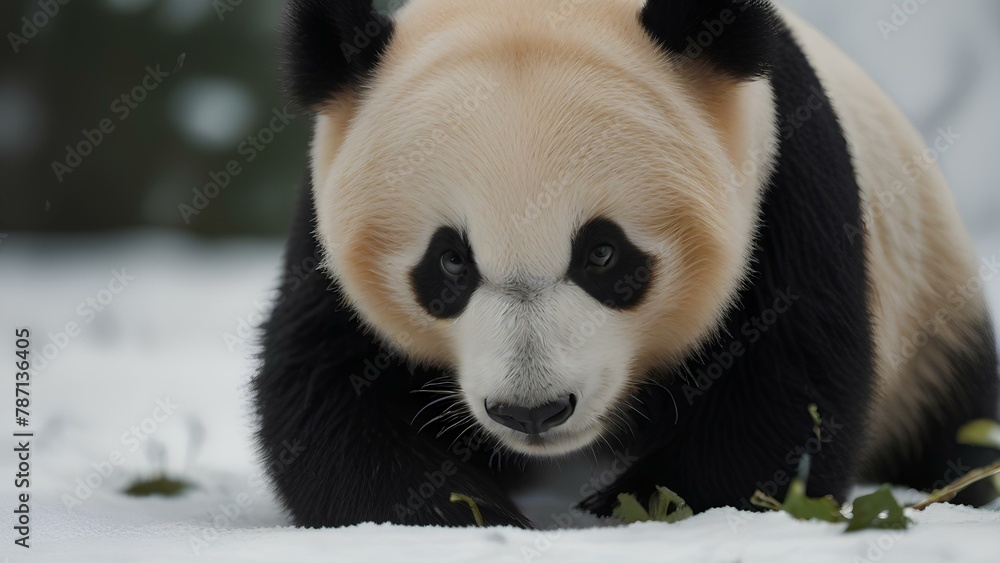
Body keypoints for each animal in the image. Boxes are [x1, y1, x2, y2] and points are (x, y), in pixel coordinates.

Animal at [252, 0, 1000, 528]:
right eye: (451, 262)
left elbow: (787, 388)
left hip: (931, 308)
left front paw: (631, 504)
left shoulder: (785, 179)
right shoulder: (322, 224)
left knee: (957, 424)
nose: (533, 410)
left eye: (603, 253)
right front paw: (468, 510)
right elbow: (322, 393)